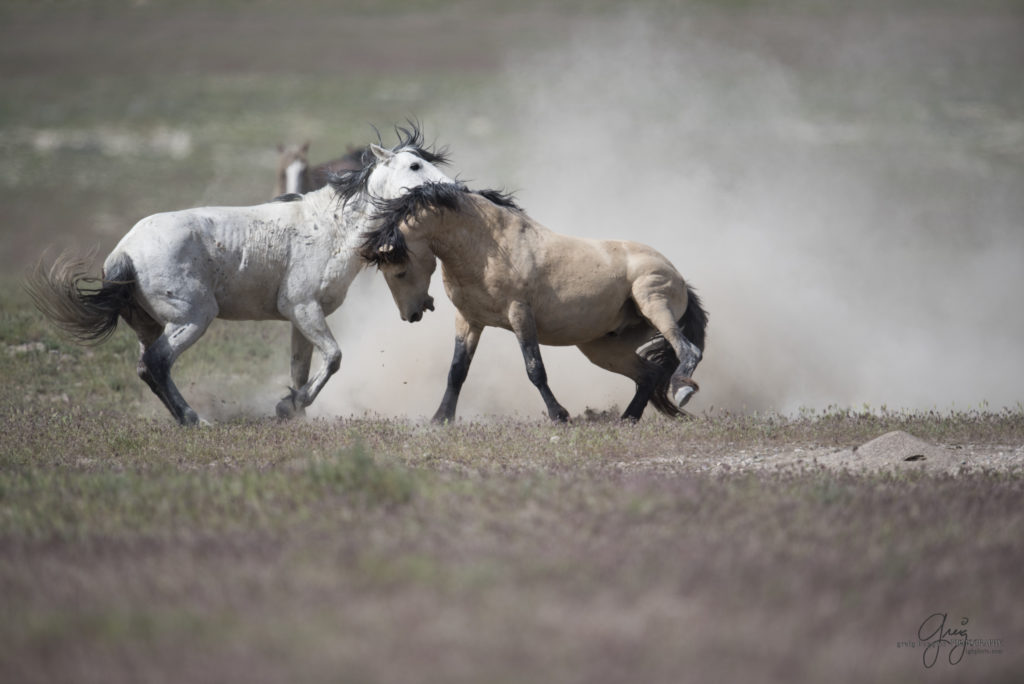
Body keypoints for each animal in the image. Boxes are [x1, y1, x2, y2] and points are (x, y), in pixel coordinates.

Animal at [28, 122, 454, 421]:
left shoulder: (299, 316)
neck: (330, 225)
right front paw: (288, 407)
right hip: (193, 318)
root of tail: (124, 251)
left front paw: (293, 409)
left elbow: (301, 368)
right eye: (414, 164)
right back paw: (194, 420)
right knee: (157, 364)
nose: (453, 189)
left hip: (149, 324)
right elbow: (333, 357)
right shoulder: (304, 308)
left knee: (147, 366)